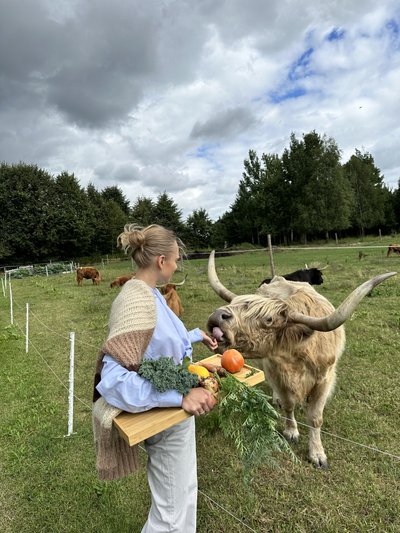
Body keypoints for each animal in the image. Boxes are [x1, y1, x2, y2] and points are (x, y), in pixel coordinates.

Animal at [208, 249, 396, 466]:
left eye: (268, 319)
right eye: (234, 303)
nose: (218, 315)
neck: (298, 355)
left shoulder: (324, 379)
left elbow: (315, 417)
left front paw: (317, 454)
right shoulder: (277, 374)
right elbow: (288, 404)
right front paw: (291, 431)